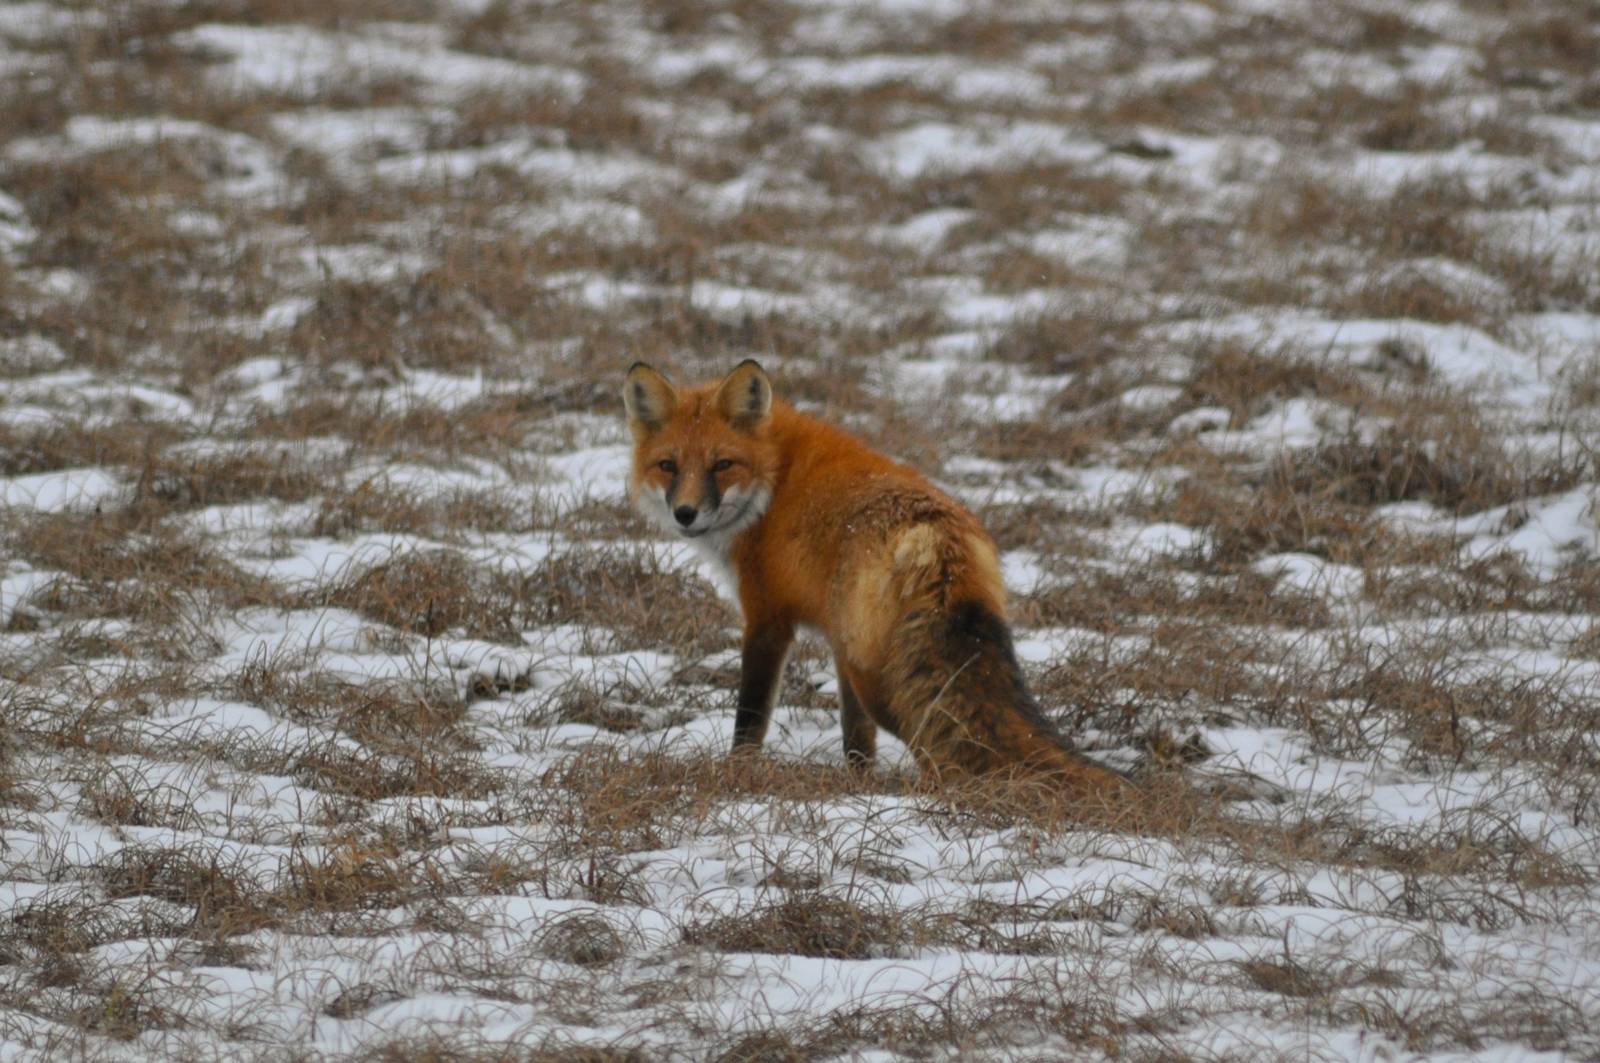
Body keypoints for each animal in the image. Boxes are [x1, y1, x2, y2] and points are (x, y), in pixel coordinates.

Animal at [623, 358, 1136, 805]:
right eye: (668, 466)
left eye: (722, 465)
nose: (685, 513)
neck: (773, 480)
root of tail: (934, 537)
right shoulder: (838, 641)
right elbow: (856, 739)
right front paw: (859, 786)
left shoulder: (768, 620)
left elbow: (749, 719)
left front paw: (738, 775)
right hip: (870, 658)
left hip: (883, 684)